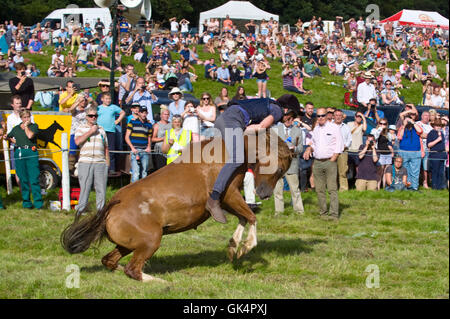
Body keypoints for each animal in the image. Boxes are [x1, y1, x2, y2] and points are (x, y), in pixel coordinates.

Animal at [61, 130, 294, 282]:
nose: (264, 194)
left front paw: (233, 246)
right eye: (279, 169)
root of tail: (111, 206)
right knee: (132, 270)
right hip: (151, 239)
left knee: (110, 261)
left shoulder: (225, 201)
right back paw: (160, 281)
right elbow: (251, 217)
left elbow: (244, 217)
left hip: (128, 244)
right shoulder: (228, 195)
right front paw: (245, 246)